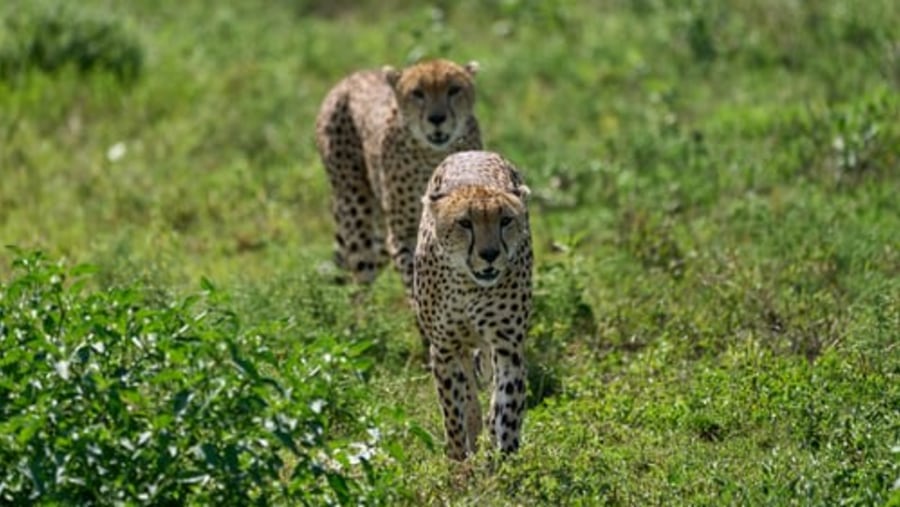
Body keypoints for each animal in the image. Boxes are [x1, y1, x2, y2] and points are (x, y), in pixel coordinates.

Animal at [318, 59, 486, 298]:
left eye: (454, 90)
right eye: (418, 93)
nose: (437, 118)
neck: (432, 155)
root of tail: (350, 78)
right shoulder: (404, 235)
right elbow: (415, 280)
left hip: (379, 233)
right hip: (356, 211)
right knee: (359, 279)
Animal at [416, 150, 536, 460]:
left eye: (505, 221)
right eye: (465, 223)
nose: (490, 254)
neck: (468, 286)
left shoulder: (508, 346)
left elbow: (507, 405)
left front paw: (506, 460)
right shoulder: (444, 348)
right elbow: (454, 411)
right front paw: (460, 460)